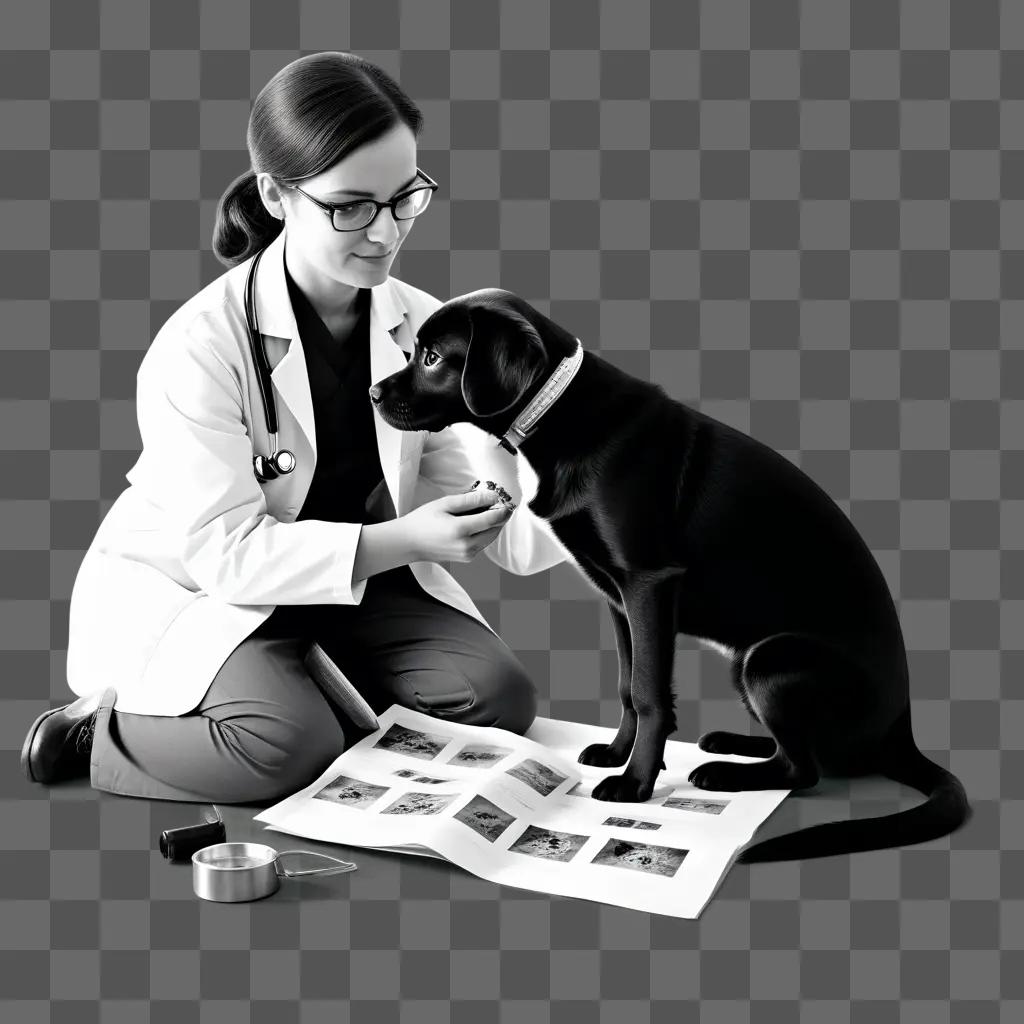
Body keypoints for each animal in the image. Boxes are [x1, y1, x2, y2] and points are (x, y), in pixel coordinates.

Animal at [368, 288, 966, 864]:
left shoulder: (648, 584)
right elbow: (627, 686)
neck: (562, 412)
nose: (372, 393)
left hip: (770, 660)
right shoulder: (616, 597)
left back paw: (726, 775)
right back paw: (729, 744)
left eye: (433, 357)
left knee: (805, 768)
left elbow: (650, 691)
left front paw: (634, 784)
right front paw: (616, 754)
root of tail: (902, 729)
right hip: (747, 664)